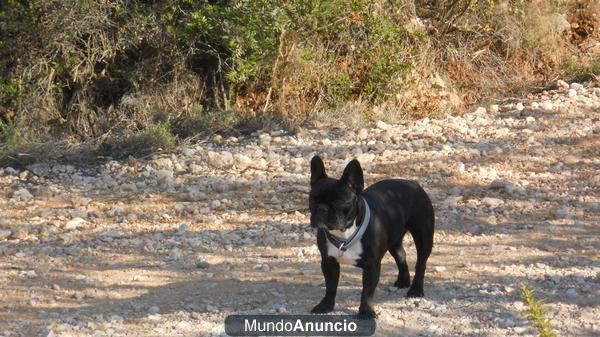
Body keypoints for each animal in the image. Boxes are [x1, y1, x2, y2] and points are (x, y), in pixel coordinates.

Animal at [312, 156, 434, 316]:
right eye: (312, 199)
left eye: (338, 202)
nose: (321, 209)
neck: (345, 235)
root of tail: (413, 184)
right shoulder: (328, 261)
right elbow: (330, 286)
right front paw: (325, 306)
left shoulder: (372, 266)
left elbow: (367, 291)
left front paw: (366, 311)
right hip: (394, 240)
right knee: (401, 255)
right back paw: (403, 281)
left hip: (423, 236)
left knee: (421, 263)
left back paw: (416, 290)